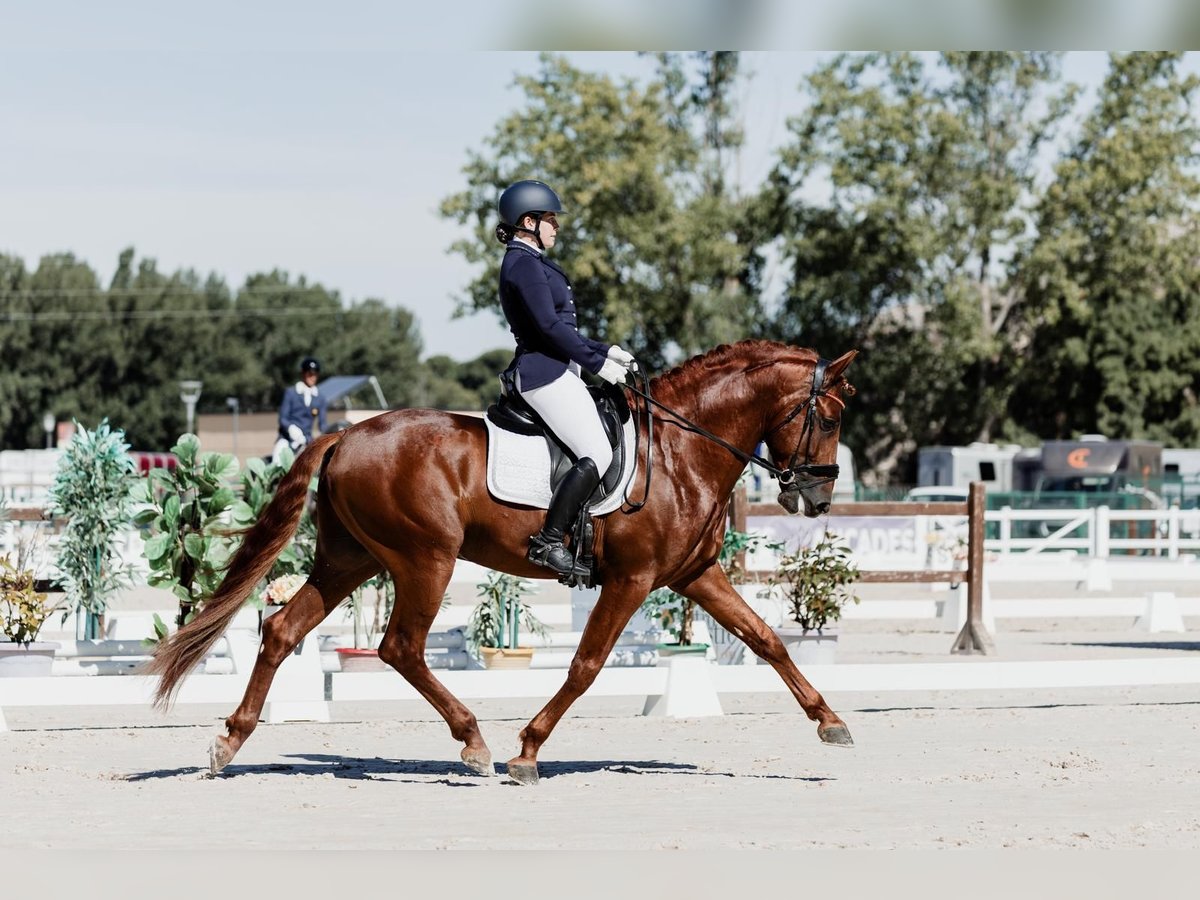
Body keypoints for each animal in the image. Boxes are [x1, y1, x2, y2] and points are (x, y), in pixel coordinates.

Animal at [150, 338, 859, 782]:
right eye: (827, 419)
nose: (818, 497)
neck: (681, 449)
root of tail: (347, 431)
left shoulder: (694, 574)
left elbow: (766, 639)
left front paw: (831, 723)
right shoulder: (631, 580)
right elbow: (586, 665)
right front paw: (528, 750)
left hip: (350, 561)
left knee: (282, 630)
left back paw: (228, 741)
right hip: (424, 558)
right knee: (400, 647)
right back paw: (475, 743)